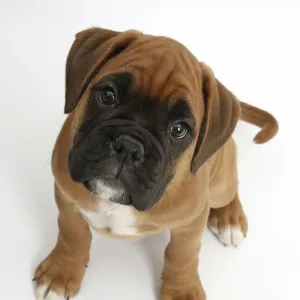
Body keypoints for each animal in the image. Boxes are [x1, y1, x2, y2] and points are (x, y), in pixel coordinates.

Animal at [33, 28, 278, 300]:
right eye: (108, 95)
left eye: (179, 130)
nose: (129, 146)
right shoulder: (67, 200)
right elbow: (71, 235)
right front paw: (61, 271)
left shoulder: (191, 224)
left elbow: (183, 256)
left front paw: (182, 291)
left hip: (220, 183)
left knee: (229, 190)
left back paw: (229, 218)